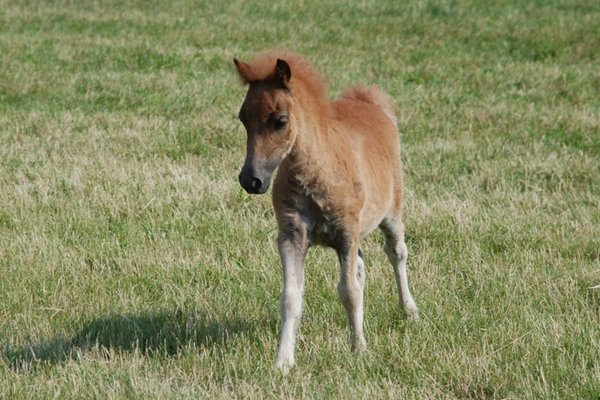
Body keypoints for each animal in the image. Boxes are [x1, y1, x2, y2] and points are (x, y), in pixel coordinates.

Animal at [233, 50, 418, 372]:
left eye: (279, 121)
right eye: (243, 118)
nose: (251, 180)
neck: (316, 170)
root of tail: (370, 102)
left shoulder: (346, 233)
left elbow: (349, 292)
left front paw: (359, 350)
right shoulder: (292, 236)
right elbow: (291, 297)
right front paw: (283, 362)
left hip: (391, 213)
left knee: (397, 253)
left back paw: (409, 310)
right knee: (361, 268)